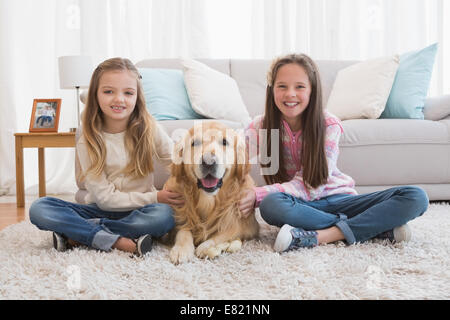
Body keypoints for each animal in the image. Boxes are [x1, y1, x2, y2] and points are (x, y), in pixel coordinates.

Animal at [165, 121, 258, 264]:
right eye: (195, 143)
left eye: (225, 142)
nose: (209, 161)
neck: (207, 199)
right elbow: (183, 230)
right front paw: (182, 249)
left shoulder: (247, 224)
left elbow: (227, 232)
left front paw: (206, 247)